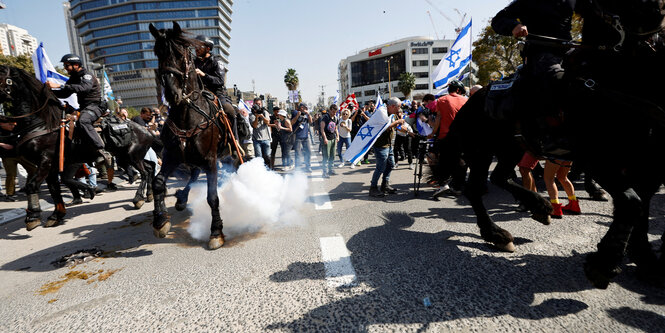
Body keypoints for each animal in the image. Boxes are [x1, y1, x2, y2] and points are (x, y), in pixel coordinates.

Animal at [0, 64, 156, 228]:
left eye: (1, 77)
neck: (43, 123)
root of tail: (146, 130)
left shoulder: (45, 162)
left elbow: (33, 185)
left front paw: (32, 216)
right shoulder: (53, 166)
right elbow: (55, 189)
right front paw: (57, 215)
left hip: (133, 156)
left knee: (144, 172)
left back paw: (138, 198)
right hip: (127, 156)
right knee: (149, 168)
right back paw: (149, 194)